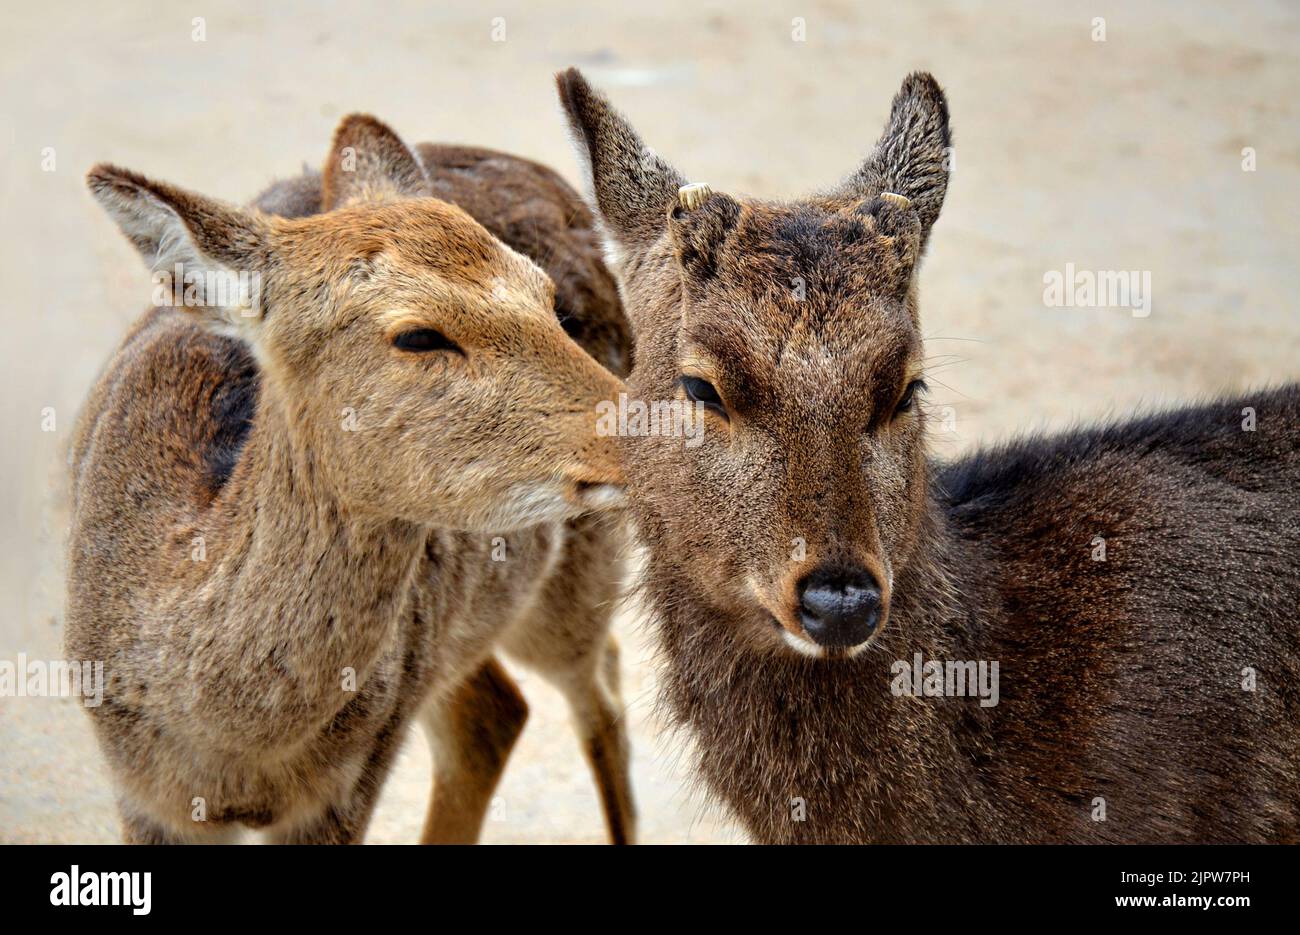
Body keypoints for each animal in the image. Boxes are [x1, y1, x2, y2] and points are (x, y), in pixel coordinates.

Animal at [68, 113, 637, 842]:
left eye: (548, 299)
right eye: (418, 335)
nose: (648, 424)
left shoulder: (352, 778)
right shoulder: (141, 793)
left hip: (569, 583)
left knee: (599, 690)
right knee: (497, 714)